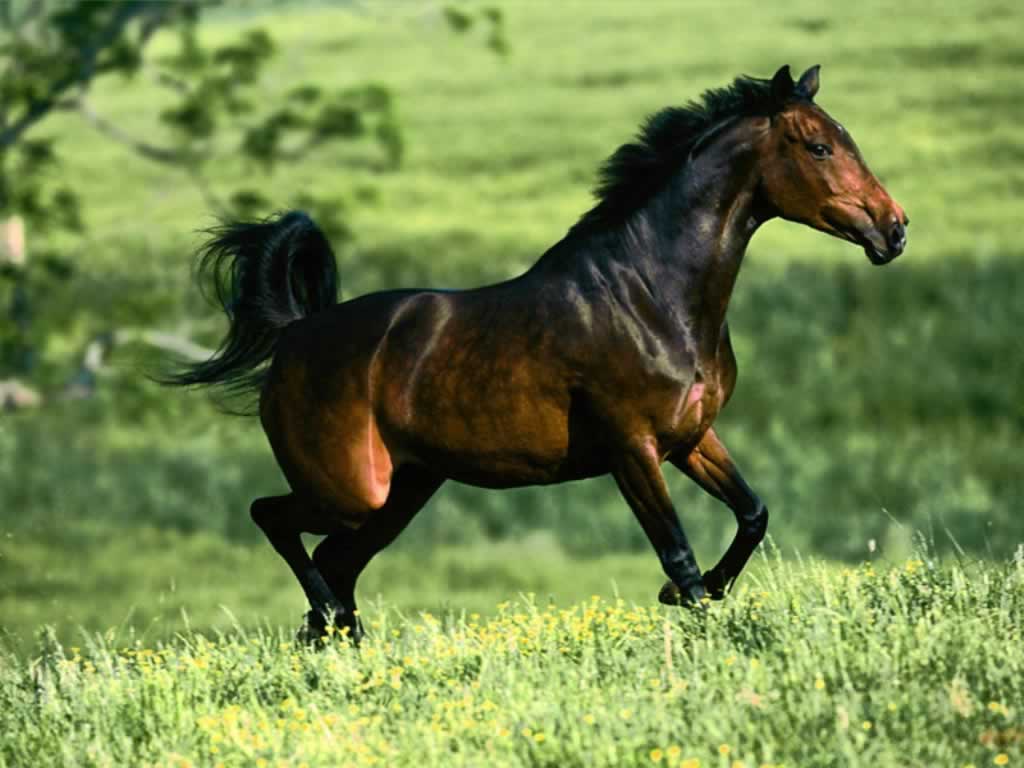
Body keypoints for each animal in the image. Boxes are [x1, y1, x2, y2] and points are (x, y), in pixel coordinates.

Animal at [169, 65, 908, 642]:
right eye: (819, 146)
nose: (894, 229)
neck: (652, 295)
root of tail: (296, 335)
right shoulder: (631, 449)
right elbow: (678, 553)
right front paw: (688, 605)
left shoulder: (692, 437)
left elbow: (752, 515)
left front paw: (701, 594)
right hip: (350, 490)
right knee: (276, 521)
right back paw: (328, 623)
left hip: (402, 492)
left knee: (334, 560)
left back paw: (337, 635)